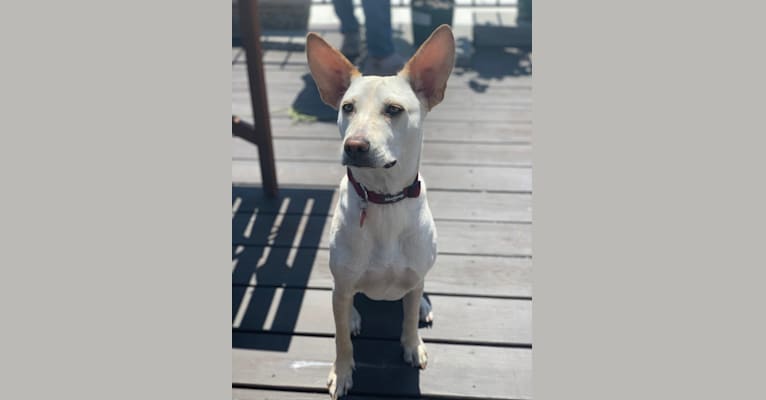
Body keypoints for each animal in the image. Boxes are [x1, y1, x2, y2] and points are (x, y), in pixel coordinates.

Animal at [306, 25, 456, 400]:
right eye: (347, 107)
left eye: (393, 109)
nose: (354, 146)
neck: (384, 199)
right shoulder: (343, 285)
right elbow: (342, 340)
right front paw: (342, 372)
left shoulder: (414, 276)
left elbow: (408, 319)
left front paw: (412, 345)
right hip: (341, 286)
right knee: (345, 304)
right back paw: (354, 316)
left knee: (417, 290)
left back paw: (422, 305)